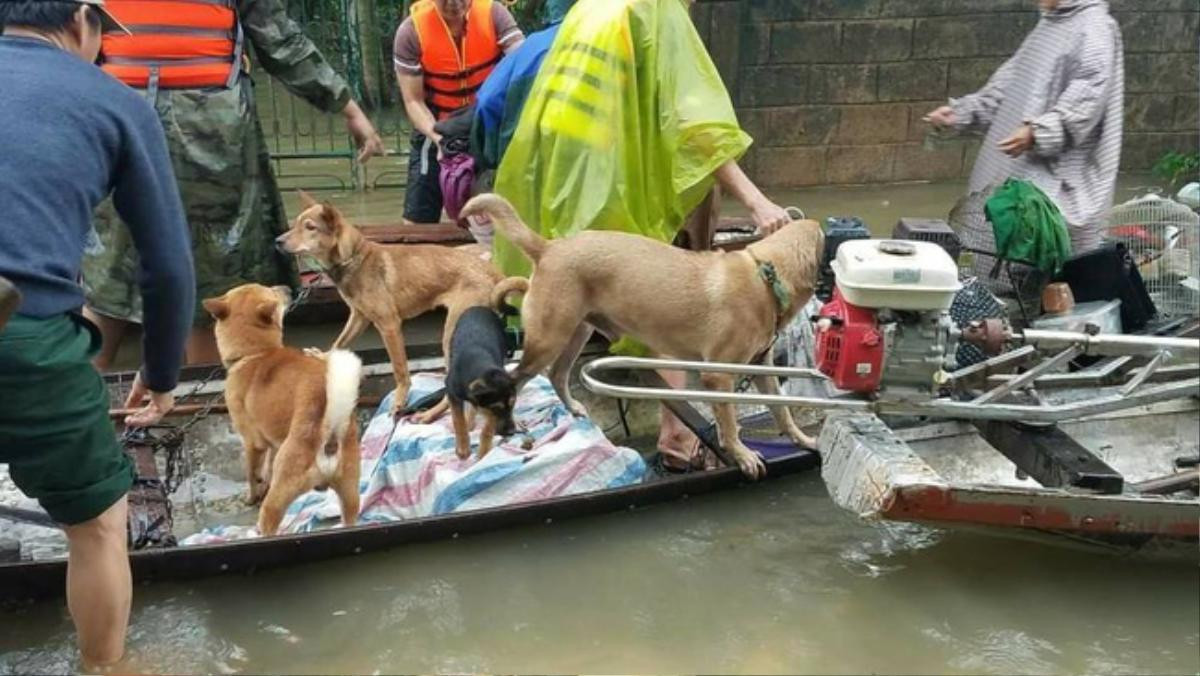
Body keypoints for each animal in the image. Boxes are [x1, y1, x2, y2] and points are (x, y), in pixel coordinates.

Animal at [204, 283, 362, 537]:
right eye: (272, 292)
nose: (287, 287)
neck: (255, 353)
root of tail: (329, 439)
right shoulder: (273, 443)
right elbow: (268, 467)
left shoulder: (253, 443)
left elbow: (252, 474)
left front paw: (252, 496)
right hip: (350, 495)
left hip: (279, 498)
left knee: (269, 520)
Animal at [278, 190, 504, 420]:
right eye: (296, 224)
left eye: (310, 227)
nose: (277, 241)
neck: (353, 257)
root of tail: (492, 272)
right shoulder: (359, 317)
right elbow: (338, 342)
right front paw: (322, 356)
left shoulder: (389, 324)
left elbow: (399, 368)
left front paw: (400, 399)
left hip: (451, 335)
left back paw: (430, 415)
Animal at [441, 307, 516, 461]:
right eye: (497, 408)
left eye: (513, 404)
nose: (512, 432)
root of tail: (480, 307)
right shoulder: (452, 392)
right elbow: (458, 420)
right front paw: (463, 447)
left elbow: (488, 427)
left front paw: (483, 451)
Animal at [458, 193, 825, 477]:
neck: (768, 278)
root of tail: (549, 248)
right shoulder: (718, 376)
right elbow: (731, 424)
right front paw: (742, 454)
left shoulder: (761, 367)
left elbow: (782, 411)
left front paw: (804, 440)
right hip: (548, 338)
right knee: (516, 379)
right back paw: (509, 425)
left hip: (577, 331)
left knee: (557, 374)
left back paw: (573, 409)